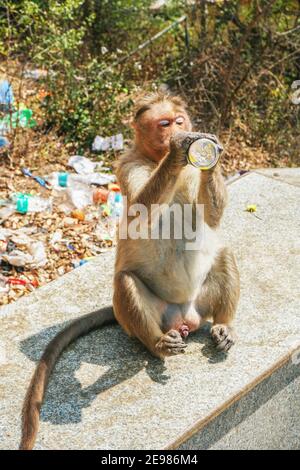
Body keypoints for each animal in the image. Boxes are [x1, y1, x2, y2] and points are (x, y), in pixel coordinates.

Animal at [19, 88, 239, 452]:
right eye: (164, 124)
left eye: (180, 120)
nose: (177, 130)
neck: (153, 159)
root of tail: (184, 318)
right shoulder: (128, 165)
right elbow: (139, 212)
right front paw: (180, 149)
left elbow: (212, 217)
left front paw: (211, 151)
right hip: (154, 316)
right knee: (126, 282)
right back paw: (157, 345)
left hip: (200, 303)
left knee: (224, 253)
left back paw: (223, 326)